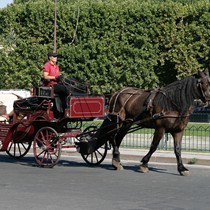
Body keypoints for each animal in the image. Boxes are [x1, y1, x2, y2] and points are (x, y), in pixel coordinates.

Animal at [78, 69, 210, 176]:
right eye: (205, 82)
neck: (172, 104)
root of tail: (117, 93)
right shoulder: (160, 128)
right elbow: (153, 146)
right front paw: (144, 164)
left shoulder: (178, 131)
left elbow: (178, 149)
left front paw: (182, 168)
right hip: (118, 121)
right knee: (113, 137)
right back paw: (116, 158)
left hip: (127, 123)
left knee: (118, 138)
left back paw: (116, 160)